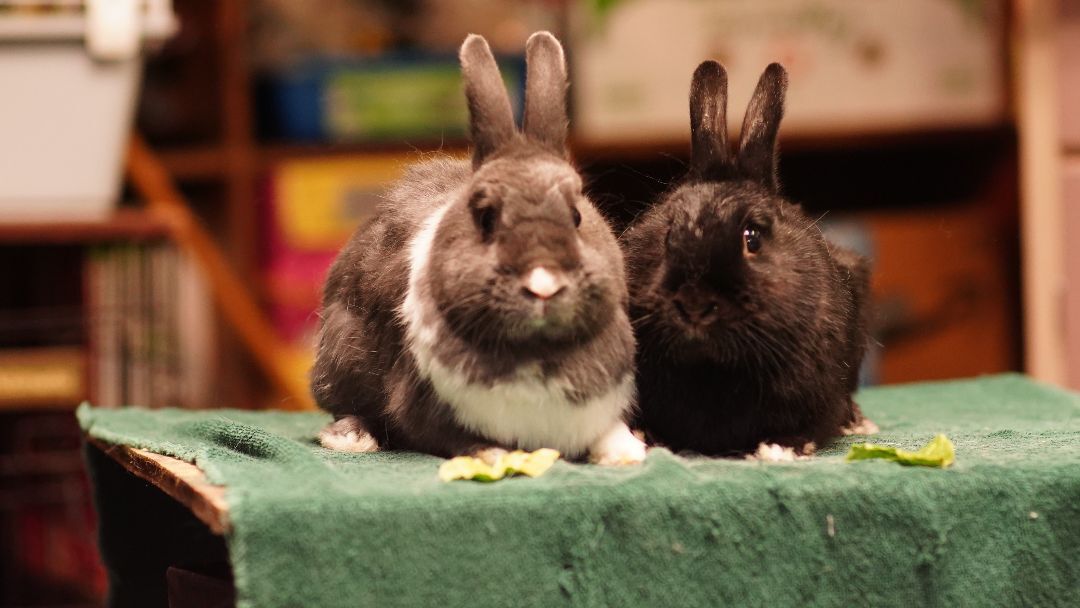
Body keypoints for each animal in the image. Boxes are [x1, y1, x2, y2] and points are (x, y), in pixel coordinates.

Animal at [310, 32, 646, 466]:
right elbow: (449, 434)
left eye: (576, 215)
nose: (544, 283)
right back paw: (352, 437)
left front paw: (628, 451)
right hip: (339, 354)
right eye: (486, 218)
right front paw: (496, 455)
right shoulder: (422, 402)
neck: (536, 352)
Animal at [621, 61, 877, 460]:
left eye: (752, 239)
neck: (712, 370)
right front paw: (646, 436)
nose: (694, 304)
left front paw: (784, 447)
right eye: (666, 235)